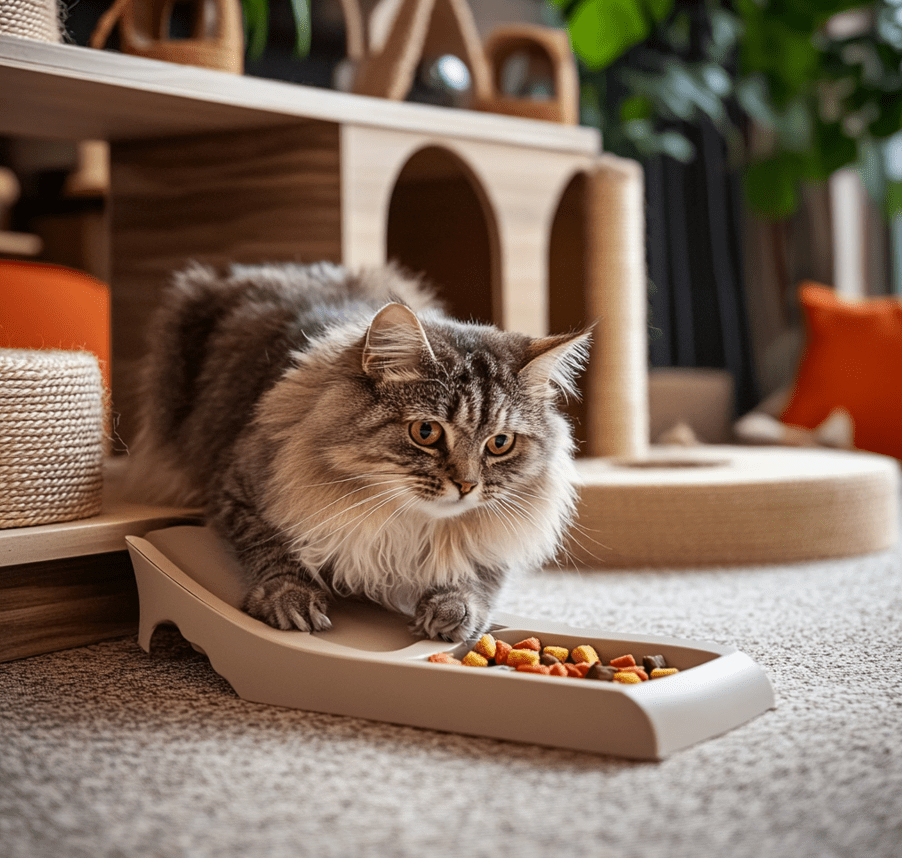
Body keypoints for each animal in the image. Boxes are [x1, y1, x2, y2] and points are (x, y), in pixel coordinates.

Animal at [129, 260, 592, 640]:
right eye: (426, 432)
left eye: (499, 443)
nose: (466, 485)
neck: (408, 522)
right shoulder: (238, 488)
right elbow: (273, 548)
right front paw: (290, 600)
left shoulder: (502, 531)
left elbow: (479, 570)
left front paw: (453, 609)